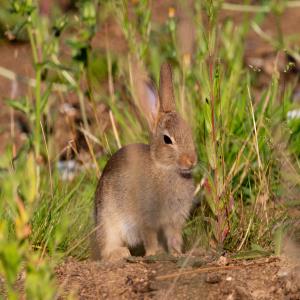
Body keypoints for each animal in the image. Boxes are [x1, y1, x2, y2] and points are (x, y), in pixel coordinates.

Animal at [94, 62, 197, 260]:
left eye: (189, 131)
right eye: (167, 140)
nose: (191, 161)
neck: (164, 168)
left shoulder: (174, 220)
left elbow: (174, 238)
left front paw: (177, 254)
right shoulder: (146, 218)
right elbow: (150, 237)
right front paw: (152, 254)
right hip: (108, 221)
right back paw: (120, 253)